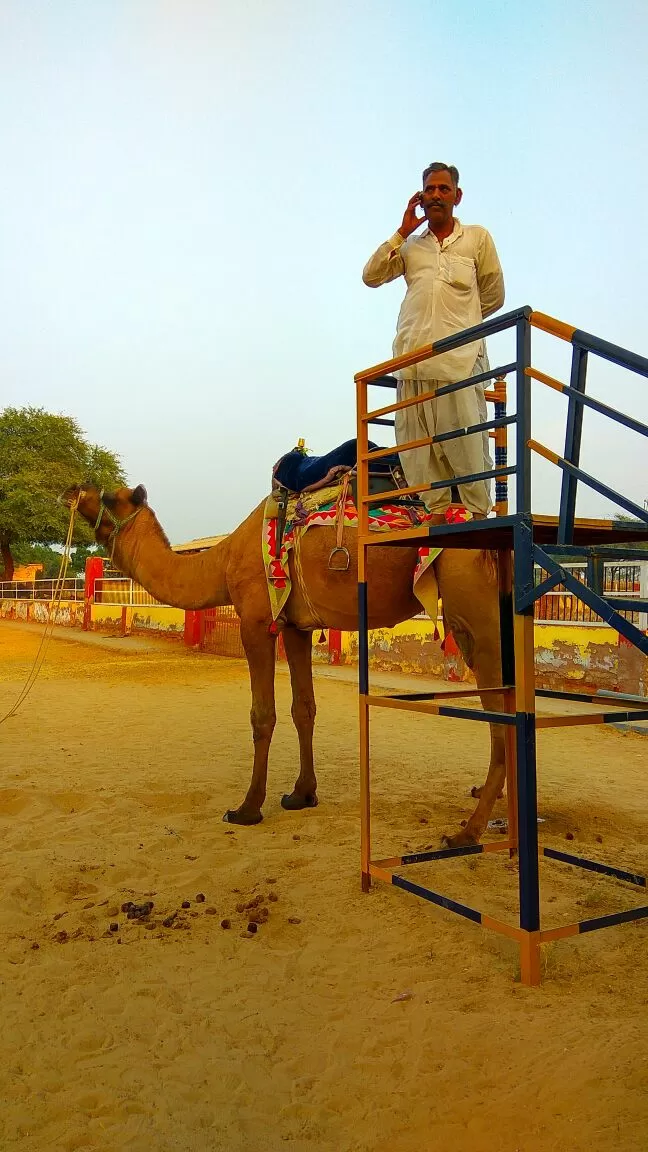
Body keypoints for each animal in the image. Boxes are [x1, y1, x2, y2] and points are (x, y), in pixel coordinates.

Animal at [61, 479, 505, 847]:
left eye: (110, 496)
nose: (71, 491)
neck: (221, 561)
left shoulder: (257, 621)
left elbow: (262, 715)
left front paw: (247, 808)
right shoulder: (296, 625)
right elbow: (303, 708)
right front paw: (301, 794)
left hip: (473, 611)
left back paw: (469, 831)